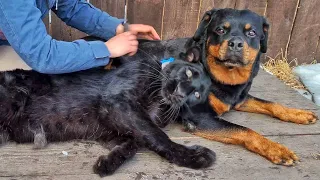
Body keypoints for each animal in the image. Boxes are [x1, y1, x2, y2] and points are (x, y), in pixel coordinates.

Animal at [182, 8, 318, 166]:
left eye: (251, 33)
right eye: (220, 30)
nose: (235, 43)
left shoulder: (240, 99)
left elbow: (272, 104)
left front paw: (298, 114)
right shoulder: (200, 116)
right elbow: (245, 130)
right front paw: (276, 149)